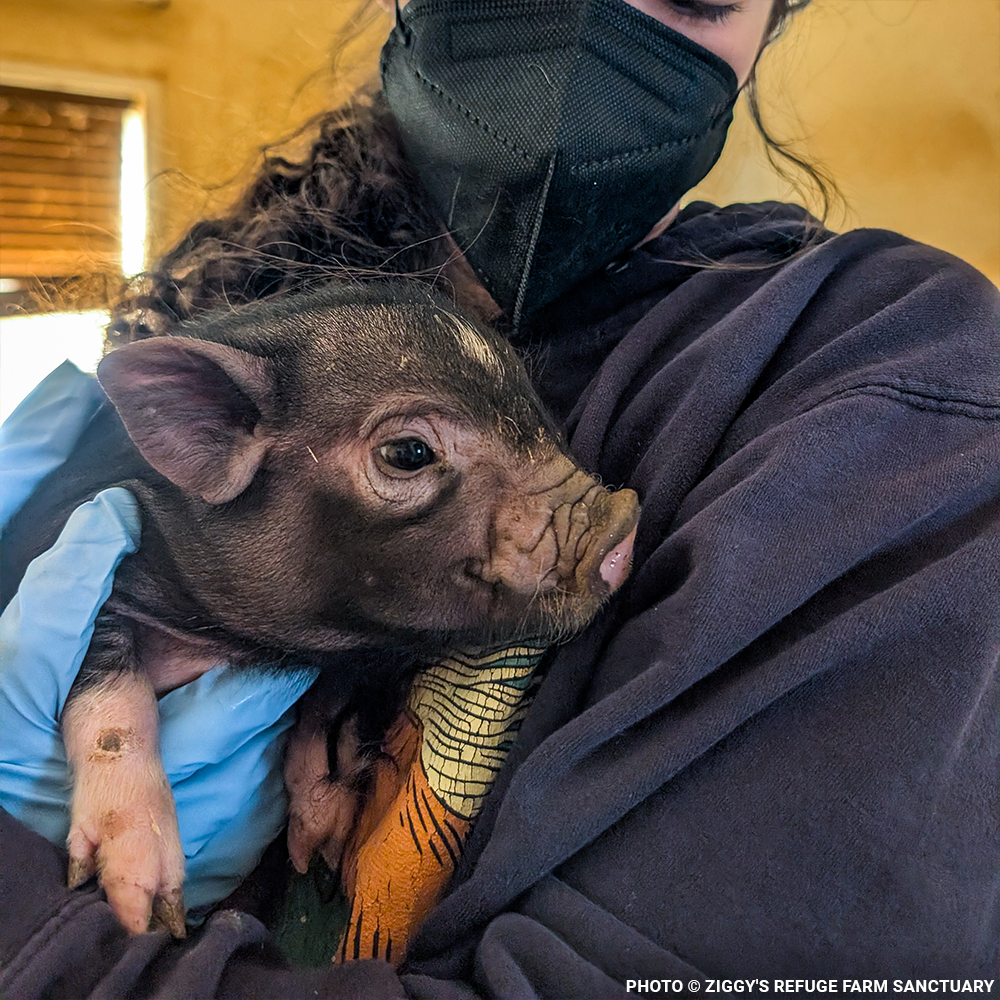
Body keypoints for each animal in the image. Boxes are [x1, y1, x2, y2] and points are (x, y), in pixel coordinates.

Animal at [0, 280, 639, 938]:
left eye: (540, 411)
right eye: (409, 452)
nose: (625, 521)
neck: (256, 643)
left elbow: (327, 707)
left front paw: (319, 850)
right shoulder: (81, 553)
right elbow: (108, 687)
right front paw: (145, 909)